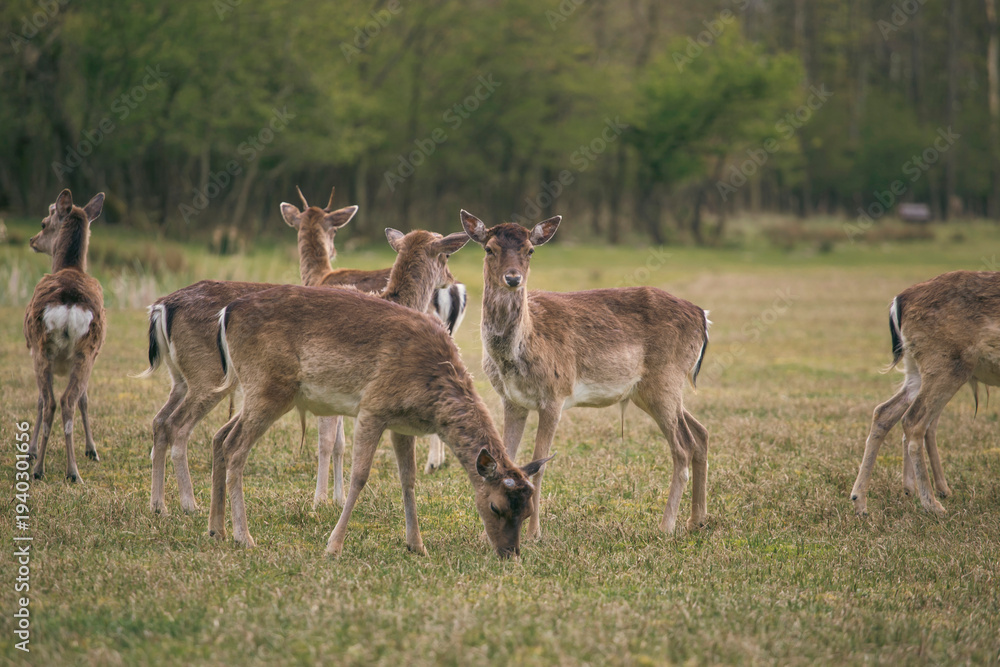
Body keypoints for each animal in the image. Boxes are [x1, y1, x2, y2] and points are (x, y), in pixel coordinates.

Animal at [24, 189, 106, 482]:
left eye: (43, 223)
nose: (32, 240)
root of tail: (69, 304)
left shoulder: (32, 350)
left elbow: (39, 400)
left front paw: (31, 450)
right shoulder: (92, 357)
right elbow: (84, 398)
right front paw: (92, 449)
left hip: (43, 348)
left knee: (50, 401)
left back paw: (39, 469)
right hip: (85, 352)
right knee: (67, 401)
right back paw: (73, 471)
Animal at [209, 261, 551, 558]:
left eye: (528, 510)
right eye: (496, 507)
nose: (510, 553)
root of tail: (226, 313)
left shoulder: (403, 424)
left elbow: (408, 479)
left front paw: (417, 545)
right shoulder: (373, 407)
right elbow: (360, 476)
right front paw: (333, 546)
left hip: (256, 389)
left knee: (219, 435)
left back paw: (217, 530)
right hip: (268, 385)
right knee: (235, 446)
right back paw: (244, 537)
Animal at [460, 210, 711, 540]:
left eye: (530, 250)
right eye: (489, 249)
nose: (513, 278)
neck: (519, 350)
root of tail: (702, 317)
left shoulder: (555, 394)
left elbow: (540, 464)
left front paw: (534, 534)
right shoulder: (511, 400)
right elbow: (507, 458)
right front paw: (486, 533)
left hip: (664, 380)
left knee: (682, 447)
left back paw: (666, 526)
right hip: (651, 390)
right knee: (701, 433)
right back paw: (697, 520)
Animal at [850, 270, 1000, 516]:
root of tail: (898, 301)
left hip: (916, 369)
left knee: (884, 411)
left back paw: (860, 502)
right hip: (947, 363)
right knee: (914, 420)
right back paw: (932, 503)